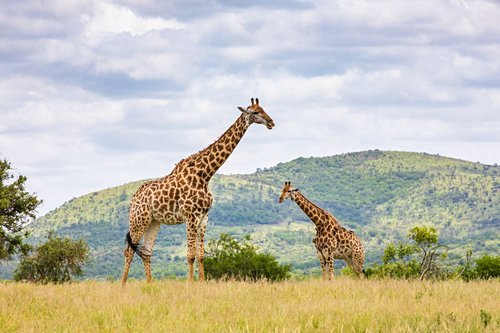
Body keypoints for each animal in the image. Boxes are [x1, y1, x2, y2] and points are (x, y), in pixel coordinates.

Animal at [122, 96, 276, 282]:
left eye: (263, 109)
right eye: (255, 112)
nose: (271, 122)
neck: (204, 175)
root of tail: (134, 198)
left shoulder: (203, 218)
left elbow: (201, 255)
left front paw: (202, 283)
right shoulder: (191, 216)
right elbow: (190, 255)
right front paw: (190, 284)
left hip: (154, 222)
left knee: (146, 252)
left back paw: (150, 284)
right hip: (139, 220)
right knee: (129, 251)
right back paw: (122, 285)